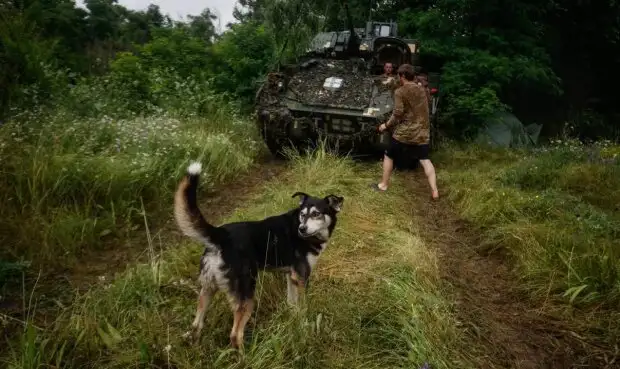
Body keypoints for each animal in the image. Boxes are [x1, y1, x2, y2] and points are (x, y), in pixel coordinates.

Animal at [173, 160, 344, 348]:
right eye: (302, 214)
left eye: (316, 214)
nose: (302, 229)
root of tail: (221, 234)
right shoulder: (301, 278)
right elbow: (304, 306)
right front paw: (305, 325)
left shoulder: (290, 276)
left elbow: (292, 304)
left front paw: (294, 322)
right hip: (246, 293)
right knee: (235, 335)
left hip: (208, 287)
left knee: (197, 324)